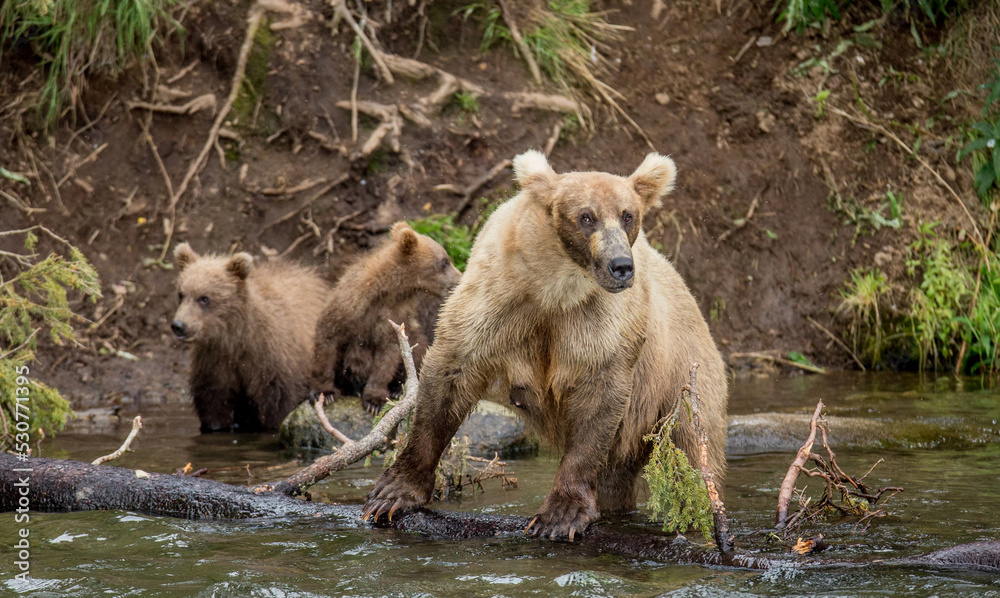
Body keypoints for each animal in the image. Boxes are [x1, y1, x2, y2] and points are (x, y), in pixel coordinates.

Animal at [171, 243, 332, 433]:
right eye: (181, 294)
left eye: (204, 298)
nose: (179, 325)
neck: (235, 339)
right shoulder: (214, 363)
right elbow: (214, 405)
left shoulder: (273, 362)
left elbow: (279, 405)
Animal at [310, 221, 462, 414]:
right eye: (444, 262)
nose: (460, 279)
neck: (387, 293)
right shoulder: (347, 308)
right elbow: (327, 342)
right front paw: (325, 392)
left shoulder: (394, 319)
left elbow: (387, 358)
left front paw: (375, 400)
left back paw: (398, 389)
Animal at [362, 151, 728, 541]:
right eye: (586, 216)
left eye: (628, 214)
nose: (621, 266)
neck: (553, 288)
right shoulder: (498, 301)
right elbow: (450, 375)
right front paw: (392, 494)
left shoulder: (598, 325)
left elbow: (598, 399)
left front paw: (560, 515)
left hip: (682, 382)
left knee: (691, 458)